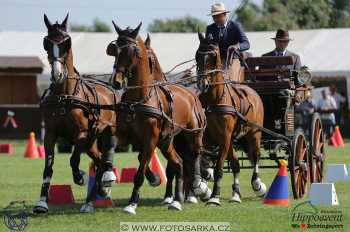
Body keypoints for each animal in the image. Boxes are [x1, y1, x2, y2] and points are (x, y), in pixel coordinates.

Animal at [33, 14, 119, 214]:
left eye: (67, 43)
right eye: (47, 43)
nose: (57, 74)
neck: (64, 95)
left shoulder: (81, 134)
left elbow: (73, 160)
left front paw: (80, 177)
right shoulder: (50, 135)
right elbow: (48, 167)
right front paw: (41, 203)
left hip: (105, 132)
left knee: (103, 161)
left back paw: (93, 196)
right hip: (91, 142)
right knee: (98, 160)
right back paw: (97, 193)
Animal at [106, 21, 211, 214]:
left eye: (132, 51)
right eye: (114, 49)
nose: (116, 82)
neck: (139, 98)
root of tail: (192, 93)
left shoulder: (150, 138)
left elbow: (140, 171)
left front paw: (132, 203)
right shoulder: (128, 136)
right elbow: (127, 151)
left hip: (193, 134)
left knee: (195, 156)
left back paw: (199, 186)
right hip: (167, 141)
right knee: (179, 164)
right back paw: (177, 200)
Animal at [196, 33, 266, 205]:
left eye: (213, 57)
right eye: (197, 56)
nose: (202, 83)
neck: (215, 100)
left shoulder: (225, 137)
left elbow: (219, 168)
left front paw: (214, 196)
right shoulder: (208, 137)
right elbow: (203, 161)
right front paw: (203, 186)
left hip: (254, 133)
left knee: (256, 156)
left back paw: (257, 184)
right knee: (236, 164)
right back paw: (236, 194)